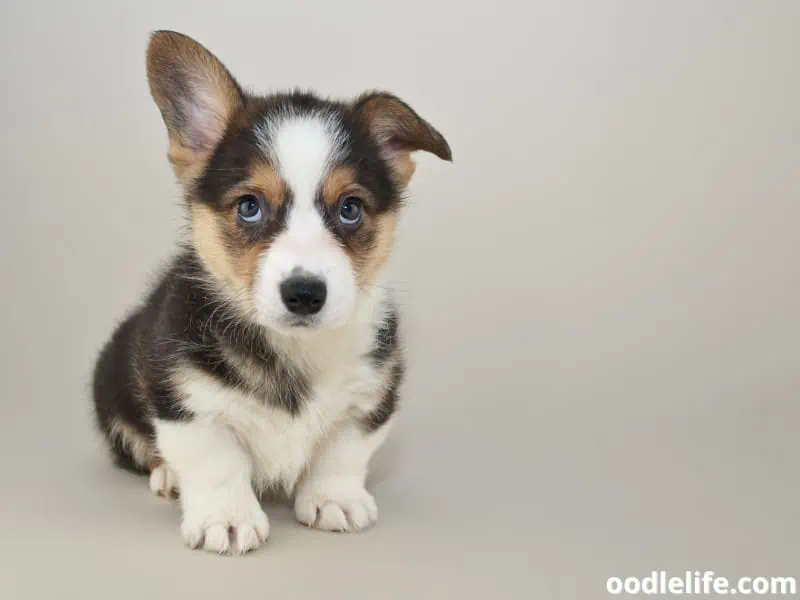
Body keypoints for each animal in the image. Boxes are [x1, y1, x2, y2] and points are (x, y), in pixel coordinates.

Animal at [90, 30, 450, 556]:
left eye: (350, 209)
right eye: (249, 206)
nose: (304, 293)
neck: (296, 347)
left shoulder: (370, 397)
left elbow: (344, 452)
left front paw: (335, 500)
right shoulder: (184, 398)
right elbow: (214, 460)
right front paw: (226, 519)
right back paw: (167, 477)